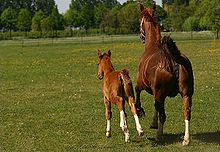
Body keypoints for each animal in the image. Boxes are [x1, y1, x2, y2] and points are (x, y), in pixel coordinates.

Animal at [136, 1, 194, 145]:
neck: (152, 47)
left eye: (140, 22)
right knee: (187, 112)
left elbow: (138, 95)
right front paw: (153, 122)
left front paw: (140, 111)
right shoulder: (157, 93)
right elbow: (156, 106)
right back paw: (186, 139)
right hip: (186, 94)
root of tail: (174, 59)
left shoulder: (142, 85)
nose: (141, 37)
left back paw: (159, 136)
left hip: (161, 93)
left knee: (163, 115)